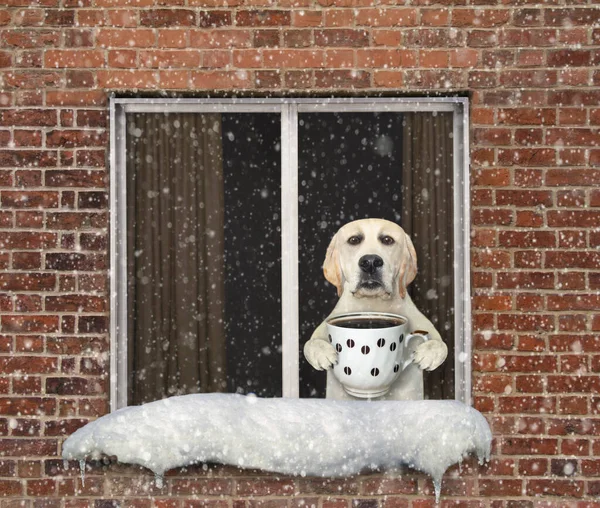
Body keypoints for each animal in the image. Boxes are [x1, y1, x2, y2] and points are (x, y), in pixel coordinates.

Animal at [308, 218, 448, 400]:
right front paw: (322, 352)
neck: (372, 304)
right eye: (354, 240)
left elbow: (440, 342)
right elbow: (311, 342)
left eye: (387, 240)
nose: (370, 262)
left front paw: (429, 352)